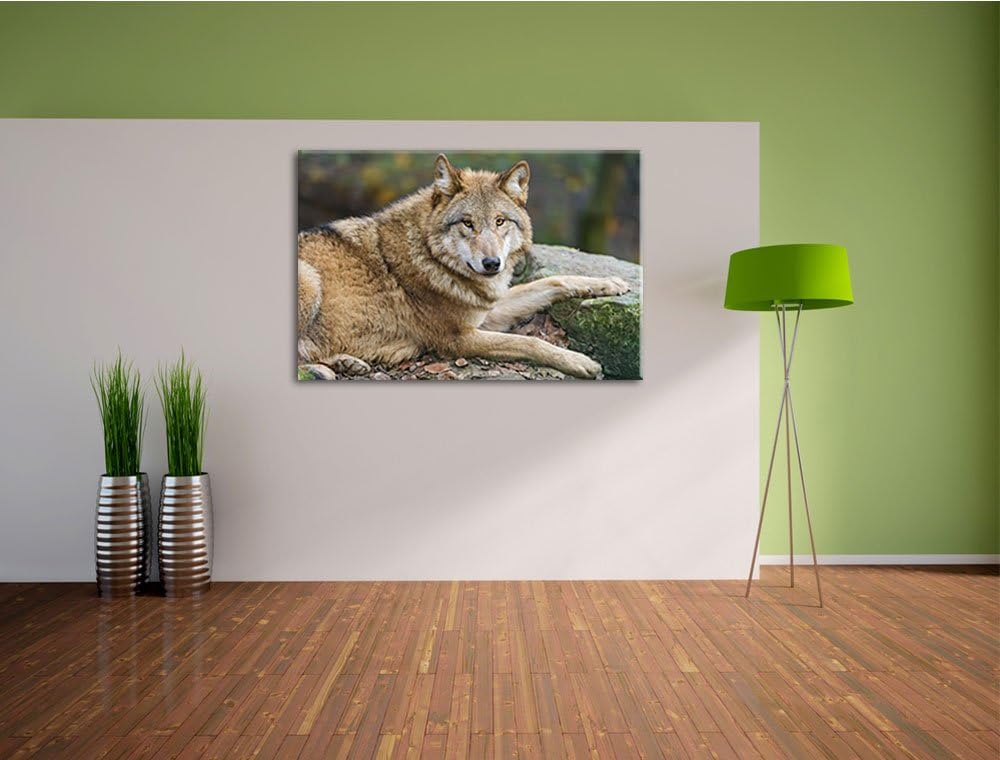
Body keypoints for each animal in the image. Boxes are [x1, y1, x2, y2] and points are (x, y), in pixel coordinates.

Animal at [297, 154, 630, 379]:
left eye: (500, 221)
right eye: (468, 223)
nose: (492, 264)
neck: (431, 256)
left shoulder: (488, 311)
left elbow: (553, 281)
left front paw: (608, 283)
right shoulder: (459, 338)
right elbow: (530, 343)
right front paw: (580, 361)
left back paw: (346, 363)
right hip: (310, 279)